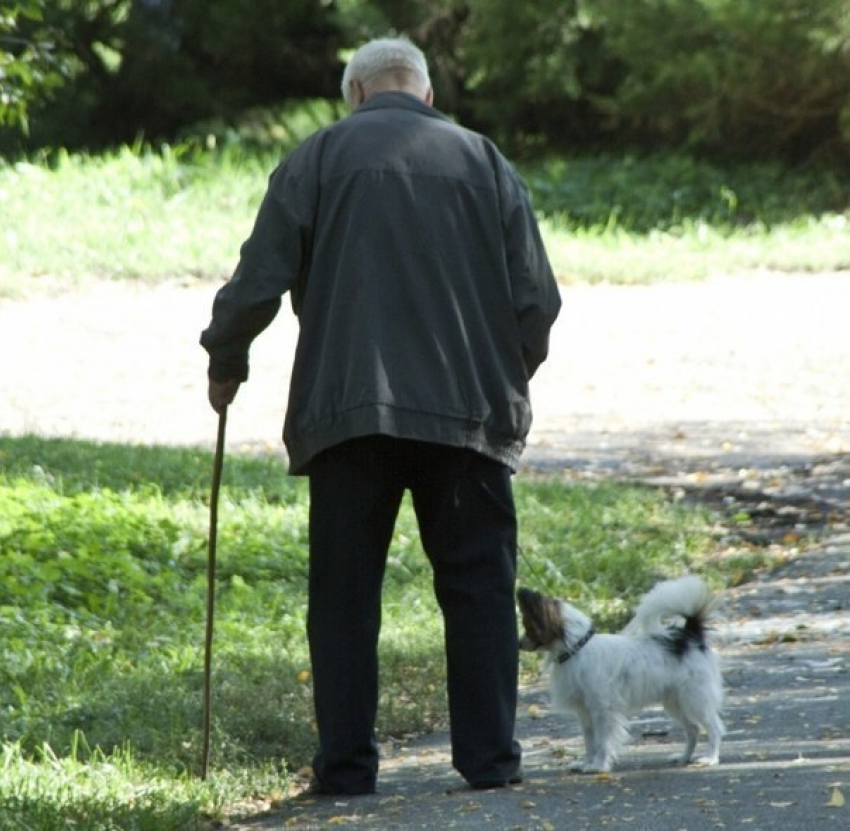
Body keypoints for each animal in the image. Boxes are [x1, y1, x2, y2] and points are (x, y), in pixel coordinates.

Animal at [516, 576, 724, 772]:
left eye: (528, 627)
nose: (519, 644)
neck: (577, 648)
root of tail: (691, 635)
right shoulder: (585, 712)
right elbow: (589, 742)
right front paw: (586, 764)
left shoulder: (602, 710)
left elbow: (601, 742)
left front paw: (599, 766)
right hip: (675, 701)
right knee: (693, 729)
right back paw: (684, 757)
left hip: (694, 698)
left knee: (713, 727)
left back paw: (710, 759)